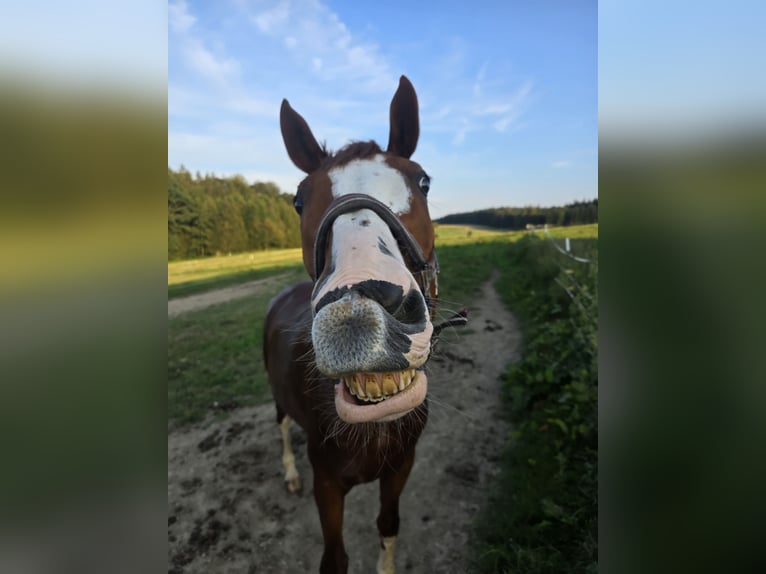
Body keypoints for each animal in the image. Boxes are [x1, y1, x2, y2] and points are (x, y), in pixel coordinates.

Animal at [266, 77, 452, 574]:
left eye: (423, 181)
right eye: (298, 200)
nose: (359, 313)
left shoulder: (401, 466)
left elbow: (388, 526)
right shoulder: (326, 482)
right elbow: (335, 558)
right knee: (281, 425)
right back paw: (287, 472)